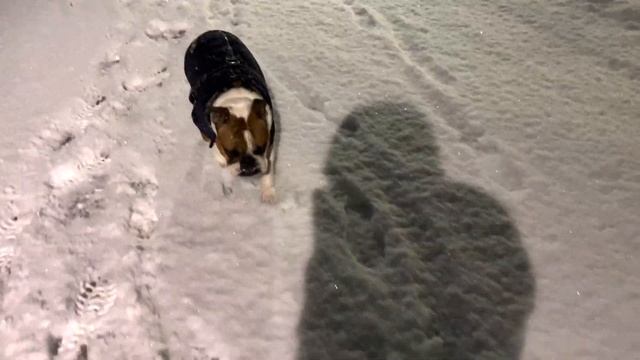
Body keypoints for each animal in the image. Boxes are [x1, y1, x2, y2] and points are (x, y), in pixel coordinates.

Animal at [184, 29, 276, 204]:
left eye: (261, 148)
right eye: (231, 152)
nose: (248, 165)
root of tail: (211, 32)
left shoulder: (271, 137)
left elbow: (269, 165)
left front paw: (268, 192)